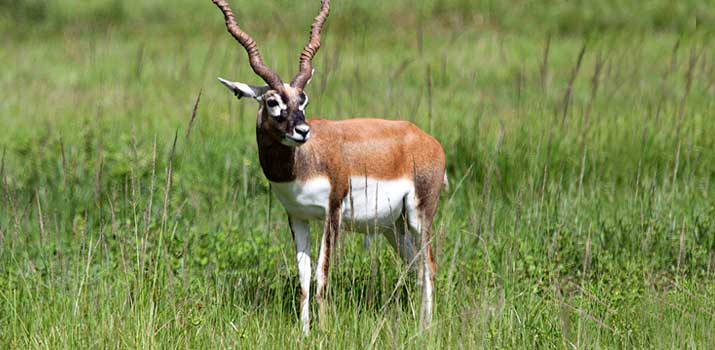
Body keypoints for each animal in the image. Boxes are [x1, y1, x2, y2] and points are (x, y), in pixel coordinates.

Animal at [211, 0, 448, 334]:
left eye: (304, 100)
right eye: (272, 102)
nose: (302, 131)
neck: (304, 162)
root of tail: (426, 139)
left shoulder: (331, 213)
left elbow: (322, 276)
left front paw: (323, 331)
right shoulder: (297, 216)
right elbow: (304, 279)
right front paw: (305, 332)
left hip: (419, 215)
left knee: (429, 266)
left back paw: (425, 329)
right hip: (393, 226)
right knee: (415, 266)